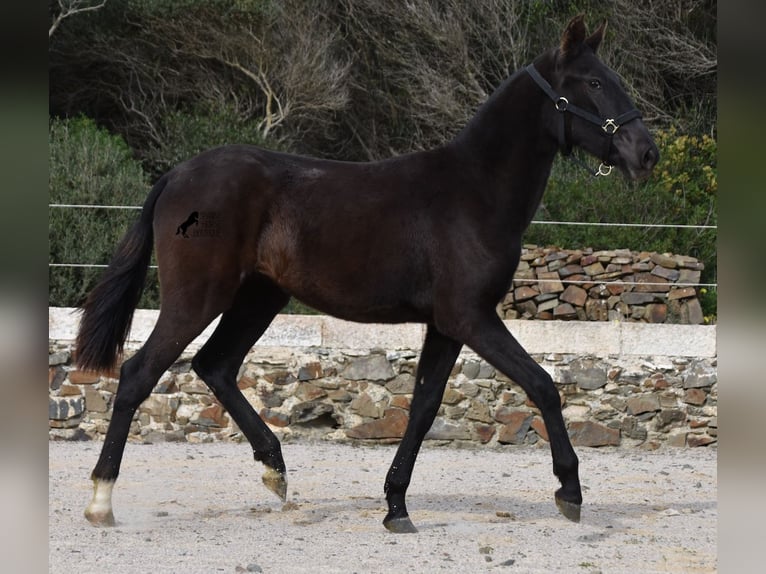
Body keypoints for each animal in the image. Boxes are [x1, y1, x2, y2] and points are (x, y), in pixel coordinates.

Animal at [75, 14, 656, 536]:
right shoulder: (472, 317)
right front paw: (570, 492)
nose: (645, 152)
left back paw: (275, 471)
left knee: (214, 365)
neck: (475, 193)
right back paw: (101, 502)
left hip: (260, 297)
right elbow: (543, 385)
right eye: (594, 82)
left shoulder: (446, 325)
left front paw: (396, 506)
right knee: (139, 374)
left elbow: (423, 407)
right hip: (199, 296)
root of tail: (176, 174)